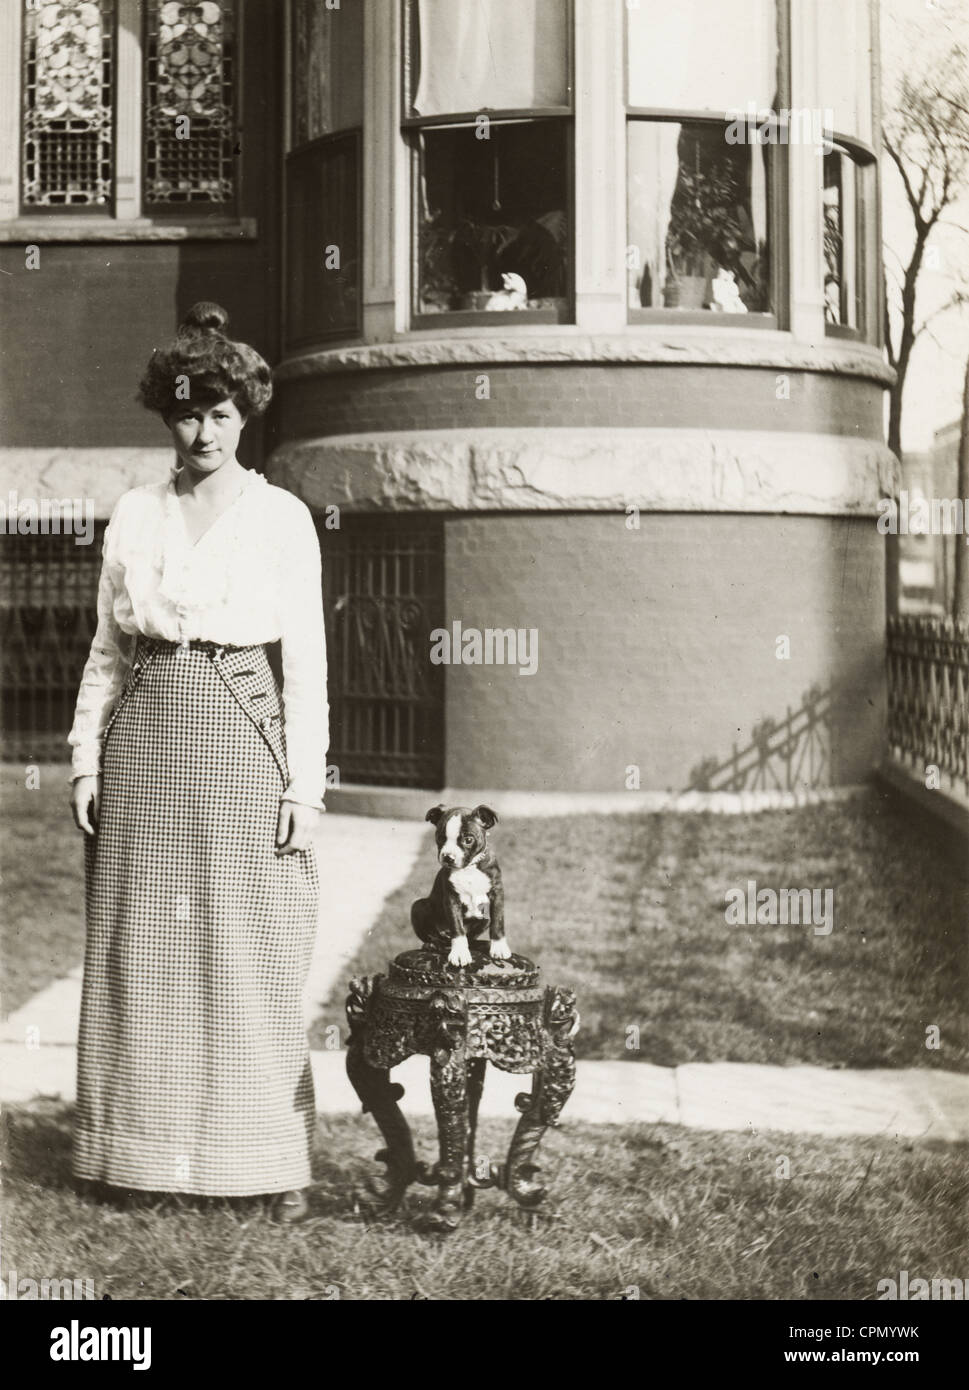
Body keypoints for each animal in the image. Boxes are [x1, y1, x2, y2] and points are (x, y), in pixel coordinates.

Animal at [408, 806, 511, 967]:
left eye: (468, 840)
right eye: (440, 838)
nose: (448, 857)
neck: (468, 868)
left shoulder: (497, 892)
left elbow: (498, 921)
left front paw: (499, 947)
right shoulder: (452, 898)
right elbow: (457, 927)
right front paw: (460, 953)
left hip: (484, 919)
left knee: (472, 937)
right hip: (418, 906)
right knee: (435, 936)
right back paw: (433, 945)